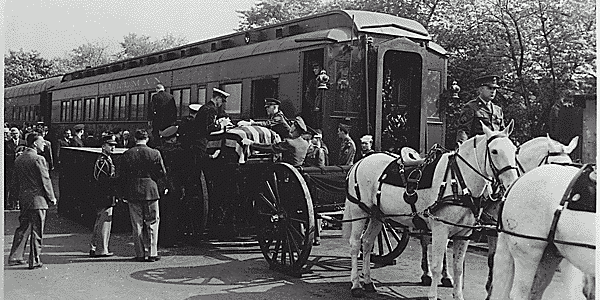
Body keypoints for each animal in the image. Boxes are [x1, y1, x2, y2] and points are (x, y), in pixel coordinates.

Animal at [342, 120, 520, 298]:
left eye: (514, 150)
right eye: (494, 151)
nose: (513, 183)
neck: (458, 180)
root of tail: (360, 162)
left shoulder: (464, 234)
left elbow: (458, 268)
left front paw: (458, 294)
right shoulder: (440, 229)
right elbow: (436, 266)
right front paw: (433, 294)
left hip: (377, 215)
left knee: (367, 242)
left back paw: (368, 282)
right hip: (359, 212)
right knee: (355, 244)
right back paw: (356, 284)